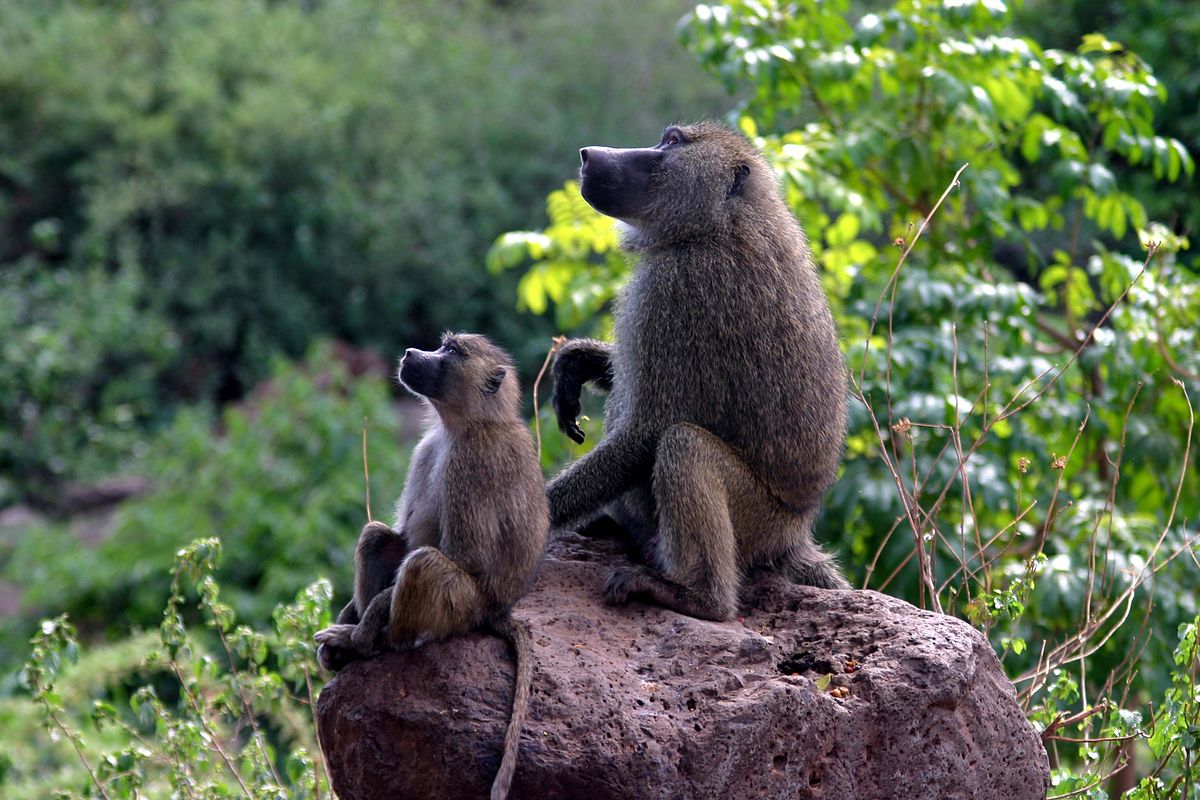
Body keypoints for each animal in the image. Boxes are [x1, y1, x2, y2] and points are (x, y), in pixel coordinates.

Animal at [314, 332, 549, 800]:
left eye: (453, 352)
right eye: (443, 345)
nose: (410, 353)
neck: (463, 424)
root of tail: (496, 611)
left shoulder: (471, 464)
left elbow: (464, 557)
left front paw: (366, 622)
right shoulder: (425, 450)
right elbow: (402, 537)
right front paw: (353, 614)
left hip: (461, 609)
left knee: (424, 567)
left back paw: (371, 642)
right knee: (377, 538)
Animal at [547, 121, 851, 623]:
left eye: (672, 143)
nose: (589, 155)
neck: (719, 222)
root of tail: (795, 533)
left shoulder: (674, 286)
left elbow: (647, 432)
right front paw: (580, 361)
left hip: (758, 521)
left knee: (684, 444)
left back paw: (697, 597)